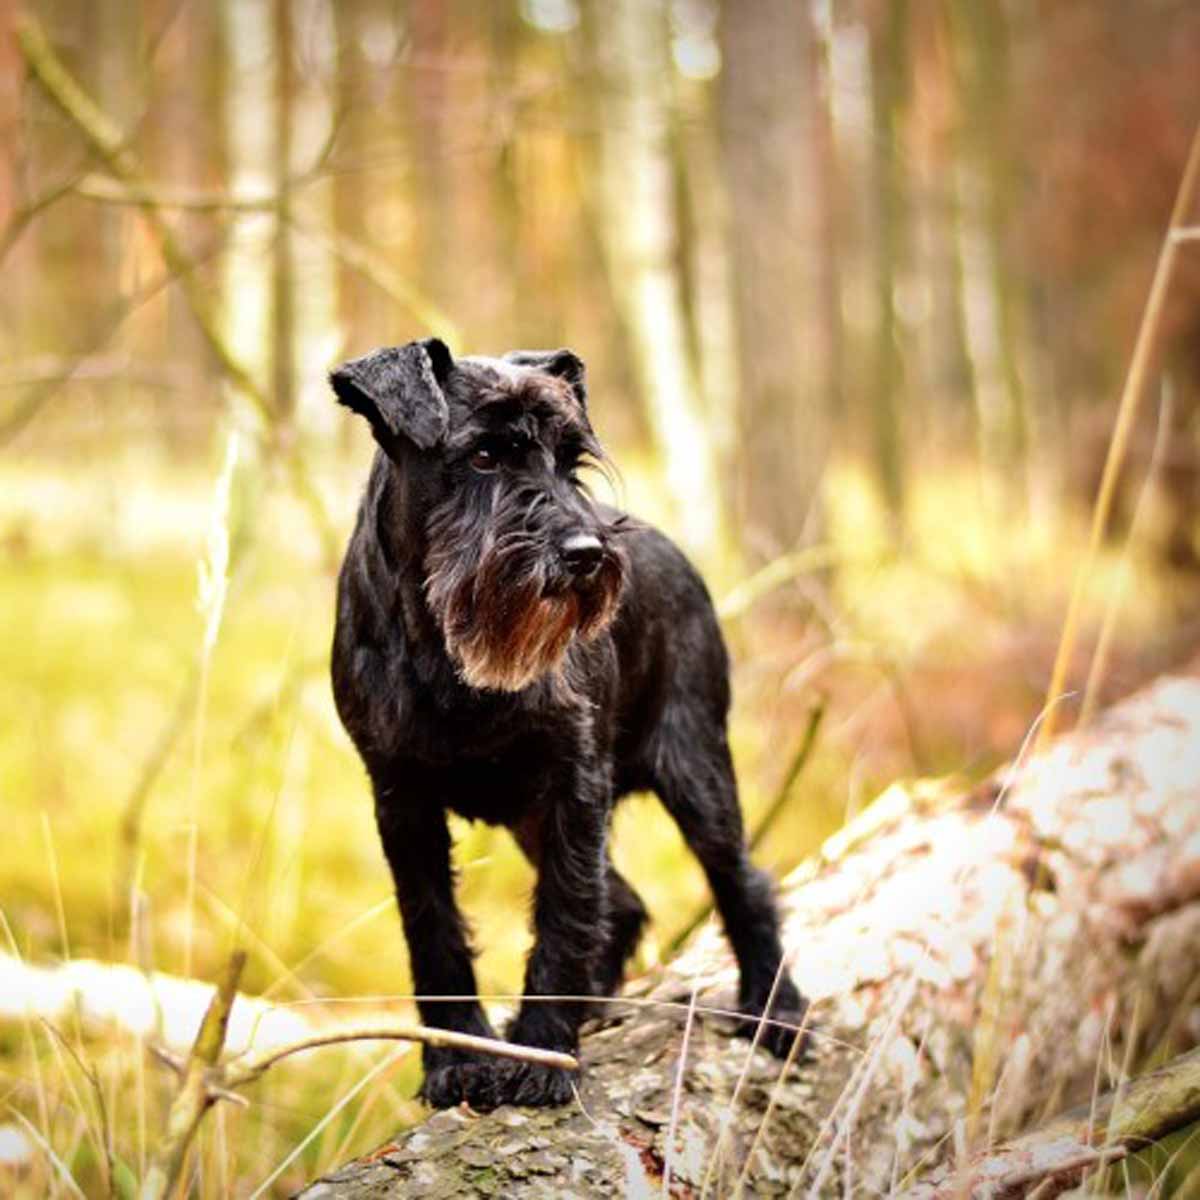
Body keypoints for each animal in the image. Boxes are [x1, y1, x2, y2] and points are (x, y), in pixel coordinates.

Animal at [333, 338, 811, 1104]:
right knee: (624, 903)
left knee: (741, 882)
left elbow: (564, 912)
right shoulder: (401, 799)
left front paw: (542, 1055)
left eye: (570, 459)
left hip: (697, 772)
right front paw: (459, 1057)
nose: (586, 554)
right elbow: (433, 926)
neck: (446, 654)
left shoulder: (574, 785)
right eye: (484, 456)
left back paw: (776, 1010)